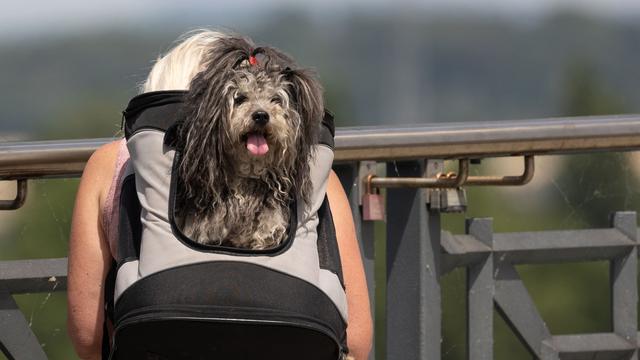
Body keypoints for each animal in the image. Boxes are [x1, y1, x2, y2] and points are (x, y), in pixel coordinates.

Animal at [174, 36, 322, 250]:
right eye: (240, 98)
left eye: (275, 99)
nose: (261, 115)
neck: (248, 175)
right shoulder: (202, 232)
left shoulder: (266, 235)